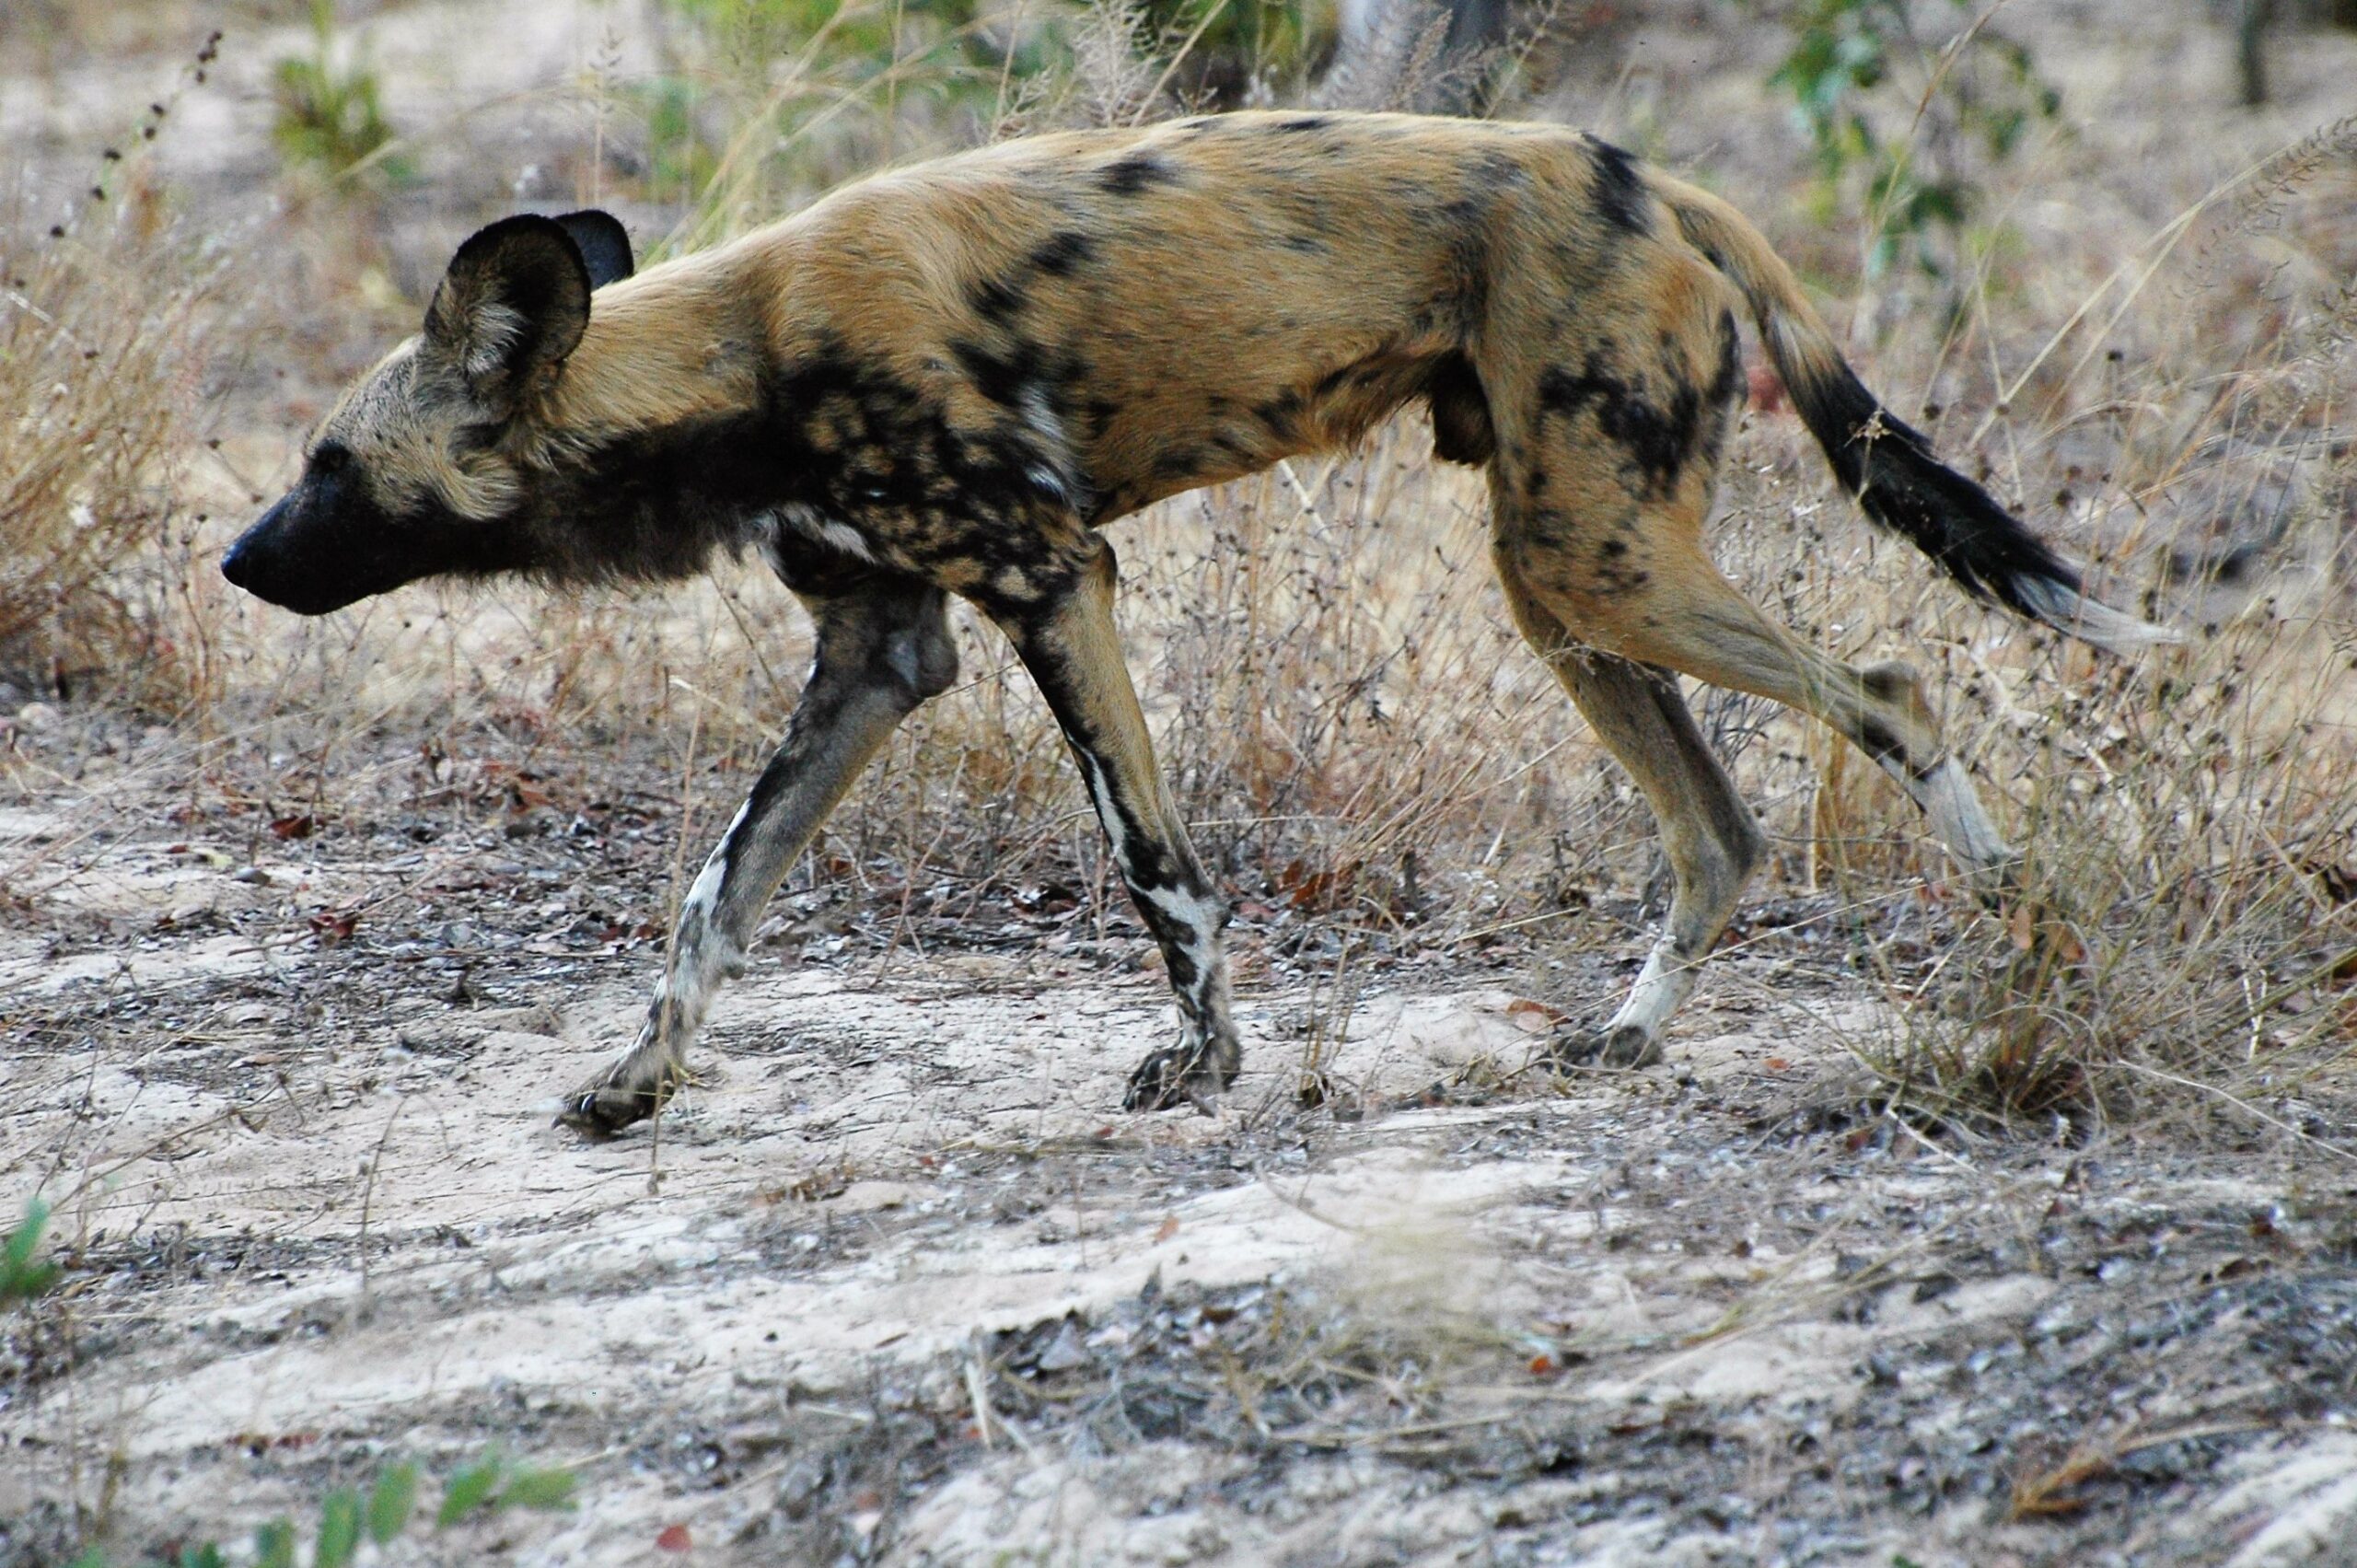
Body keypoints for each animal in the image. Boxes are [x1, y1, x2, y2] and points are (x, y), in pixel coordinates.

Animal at [221, 112, 2168, 1136]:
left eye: (327, 462)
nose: (239, 559)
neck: (739, 359)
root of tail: (1637, 170)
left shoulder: (1050, 579)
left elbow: (1154, 864)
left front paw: (1208, 1058)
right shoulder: (881, 656)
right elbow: (712, 893)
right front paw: (639, 1074)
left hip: (1601, 561)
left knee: (1895, 691)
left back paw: (2017, 929)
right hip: (1561, 573)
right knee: (1719, 821)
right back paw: (1630, 1032)